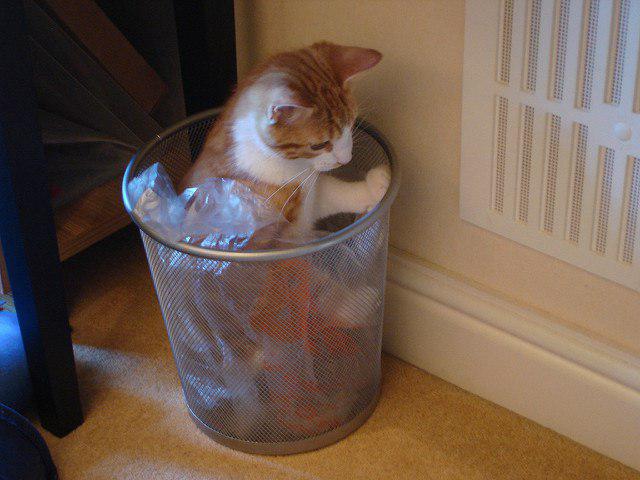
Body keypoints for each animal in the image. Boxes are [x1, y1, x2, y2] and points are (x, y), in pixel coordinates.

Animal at [179, 41, 390, 235]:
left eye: (352, 124)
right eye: (319, 145)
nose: (346, 160)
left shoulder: (310, 200)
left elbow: (334, 194)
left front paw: (373, 188)